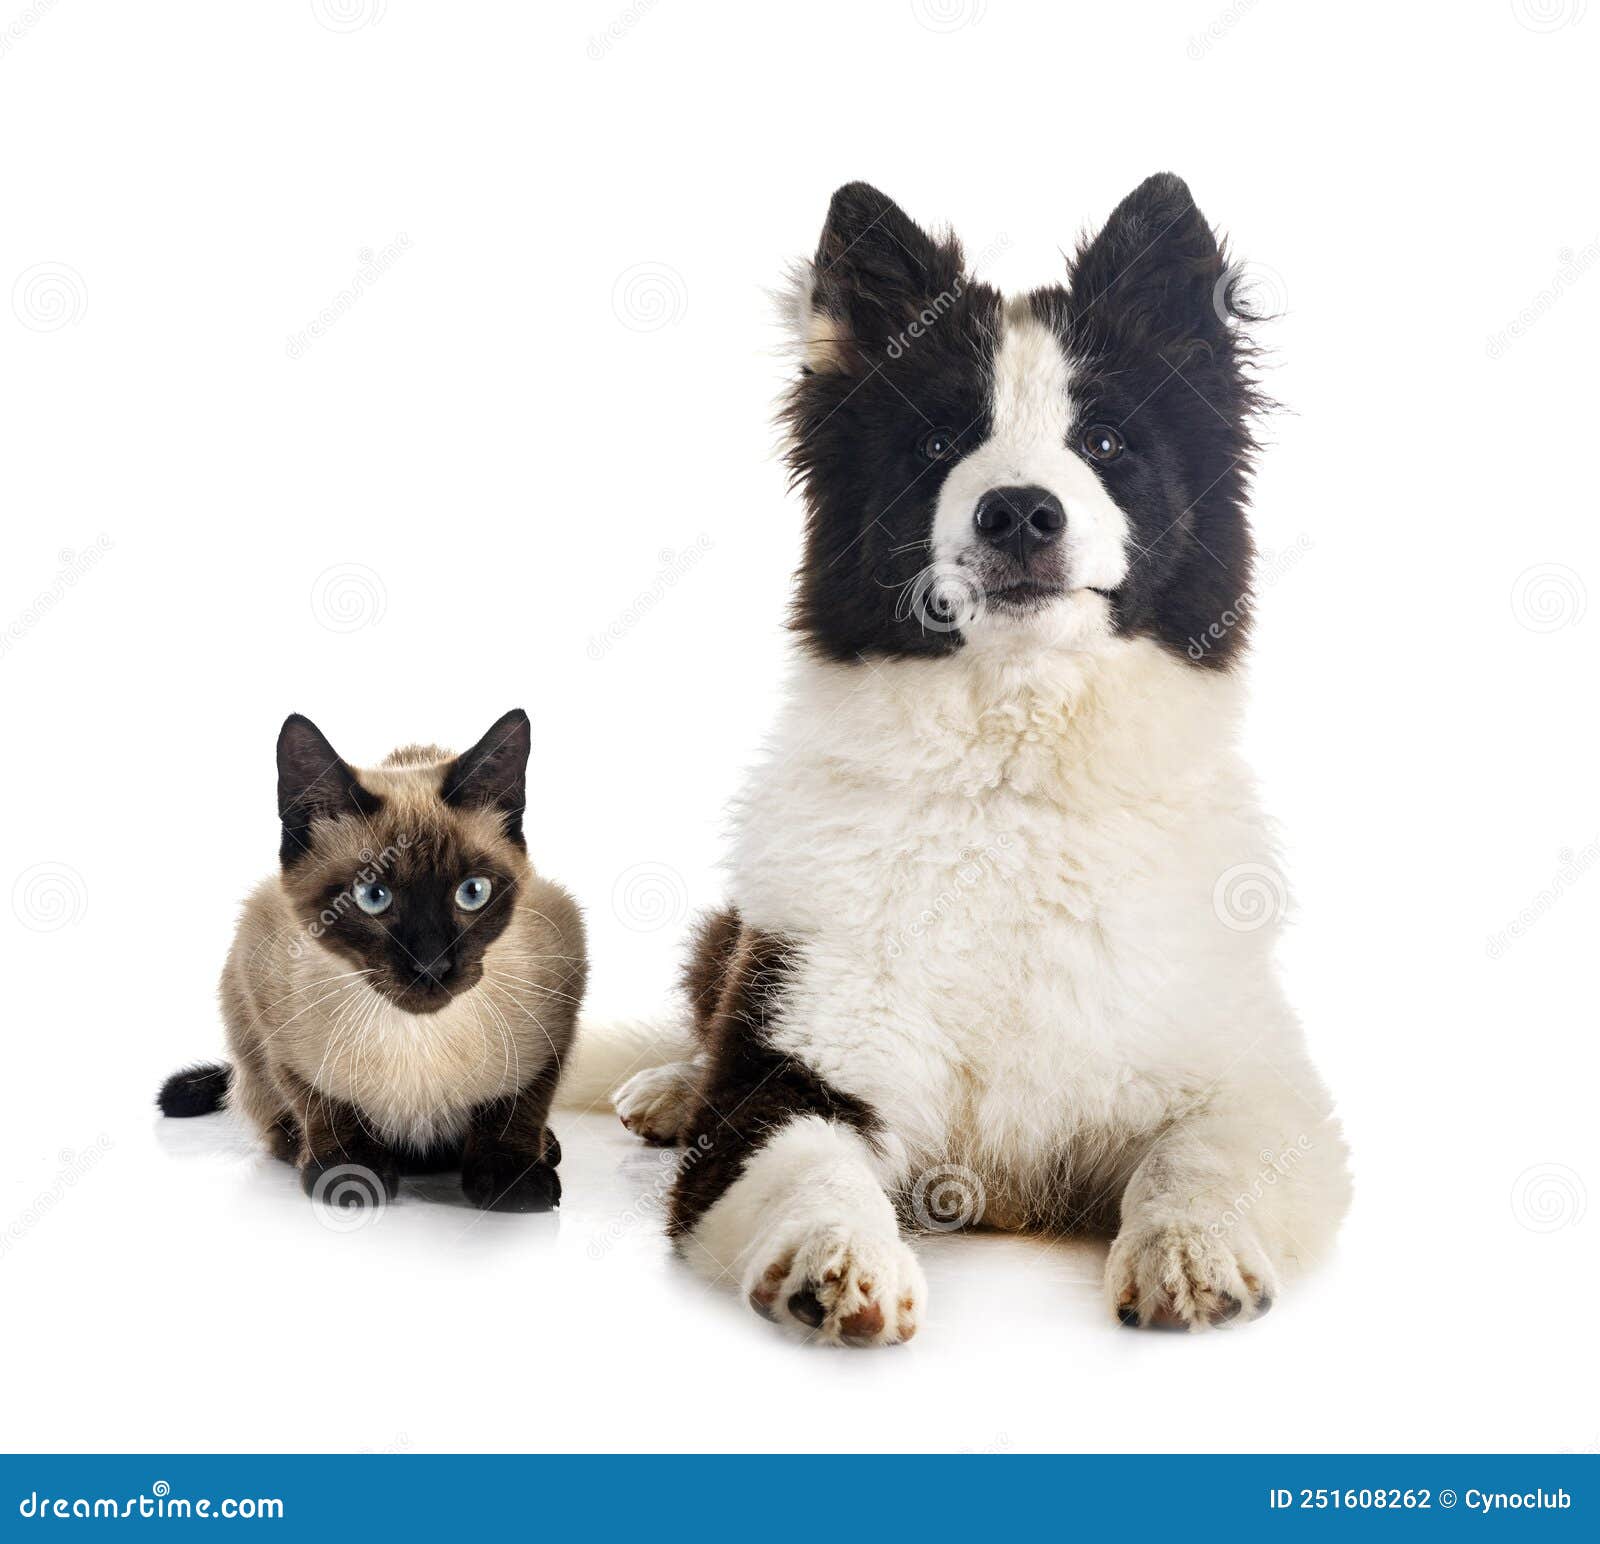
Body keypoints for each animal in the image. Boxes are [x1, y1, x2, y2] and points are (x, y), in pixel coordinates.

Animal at [151, 704, 582, 1209]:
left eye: (472, 893)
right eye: (373, 897)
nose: (432, 967)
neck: (419, 1037)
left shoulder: (560, 988)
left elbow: (517, 1106)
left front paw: (513, 1181)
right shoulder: (268, 998)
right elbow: (321, 1102)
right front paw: (351, 1174)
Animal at [576, 177, 1350, 1337]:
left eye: (1105, 442)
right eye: (939, 441)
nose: (1019, 512)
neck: (1012, 778)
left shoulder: (1255, 1081)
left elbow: (1201, 1157)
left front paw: (1190, 1250)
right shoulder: (795, 1060)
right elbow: (802, 1161)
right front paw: (836, 1258)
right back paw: (670, 1084)